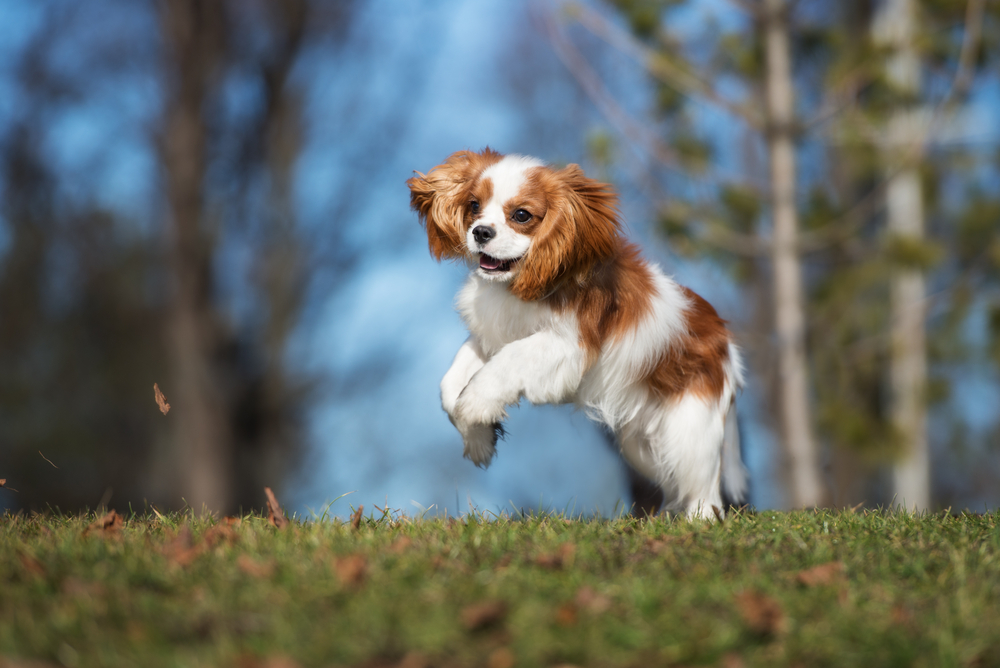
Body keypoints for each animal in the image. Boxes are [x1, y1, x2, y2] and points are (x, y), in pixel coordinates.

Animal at [410, 149, 748, 520]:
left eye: (521, 215)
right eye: (473, 206)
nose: (481, 231)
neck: (519, 285)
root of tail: (726, 344)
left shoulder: (566, 345)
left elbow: (504, 365)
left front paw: (474, 405)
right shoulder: (493, 335)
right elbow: (451, 384)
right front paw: (478, 439)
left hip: (689, 427)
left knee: (703, 488)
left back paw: (697, 521)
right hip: (640, 444)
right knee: (674, 482)